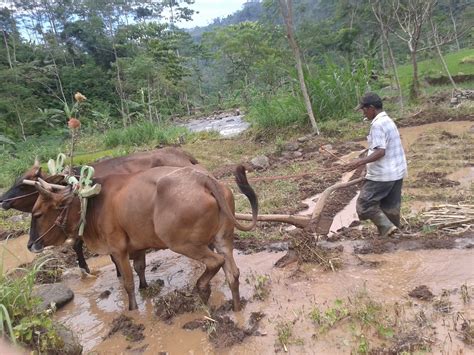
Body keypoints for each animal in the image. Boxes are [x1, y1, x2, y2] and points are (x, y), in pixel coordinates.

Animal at [27, 166, 258, 312]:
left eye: (37, 214)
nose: (30, 245)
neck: (91, 203)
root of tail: (204, 178)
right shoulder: (137, 247)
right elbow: (140, 269)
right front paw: (145, 288)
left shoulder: (118, 250)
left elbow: (128, 283)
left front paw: (133, 310)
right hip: (222, 239)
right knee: (232, 274)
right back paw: (236, 308)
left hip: (183, 243)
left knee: (215, 262)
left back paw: (202, 290)